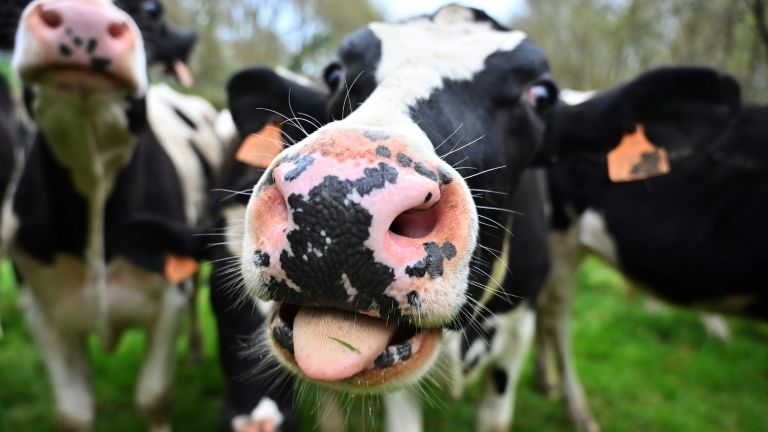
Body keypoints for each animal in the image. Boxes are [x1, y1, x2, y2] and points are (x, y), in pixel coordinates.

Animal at [10, 0, 222, 430]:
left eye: (152, 10)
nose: (81, 17)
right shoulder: (41, 309)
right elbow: (74, 412)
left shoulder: (168, 299)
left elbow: (153, 397)